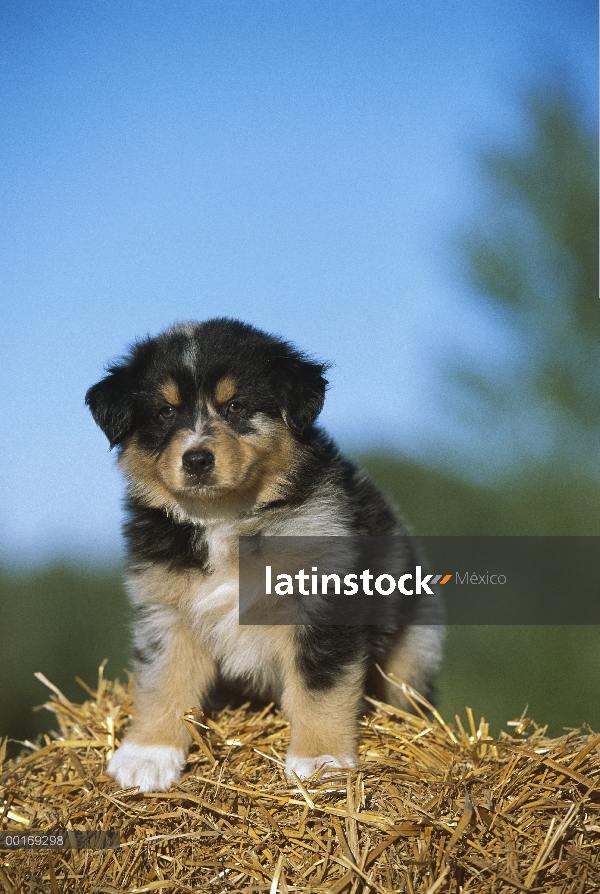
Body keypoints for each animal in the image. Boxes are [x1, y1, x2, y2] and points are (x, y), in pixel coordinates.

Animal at [84, 320, 442, 792]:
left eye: (236, 406)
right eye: (164, 413)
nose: (196, 459)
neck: (222, 517)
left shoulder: (323, 603)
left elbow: (319, 687)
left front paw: (319, 759)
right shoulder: (166, 610)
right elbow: (163, 680)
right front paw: (148, 754)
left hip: (413, 647)